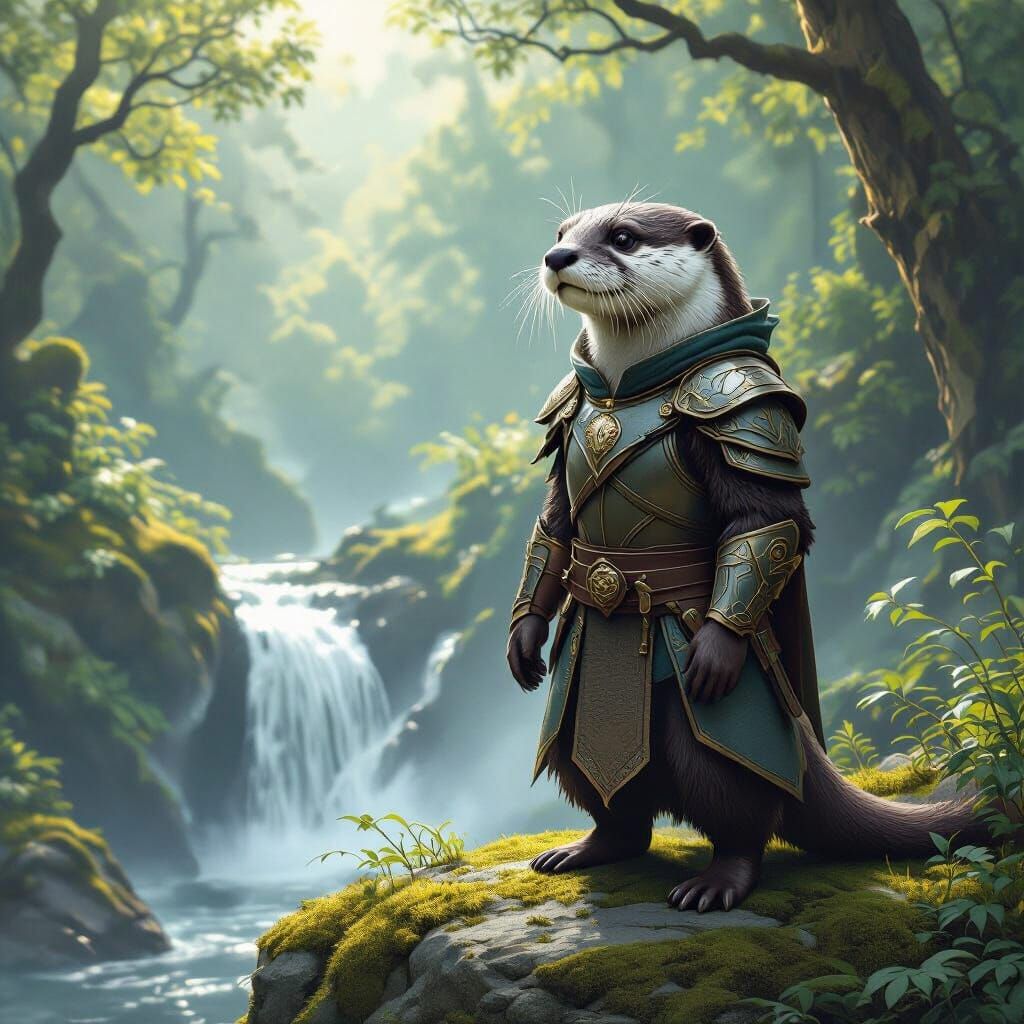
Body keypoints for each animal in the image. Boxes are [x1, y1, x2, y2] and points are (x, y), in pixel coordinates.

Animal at [507, 201, 987, 913]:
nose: (556, 258)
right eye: (562, 234)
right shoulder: (567, 418)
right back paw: (586, 848)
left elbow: (765, 523)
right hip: (572, 702)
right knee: (600, 787)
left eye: (622, 237)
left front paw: (714, 650)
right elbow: (553, 528)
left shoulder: (745, 412)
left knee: (734, 792)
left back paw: (716, 882)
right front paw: (522, 641)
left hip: (724, 721)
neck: (623, 391)